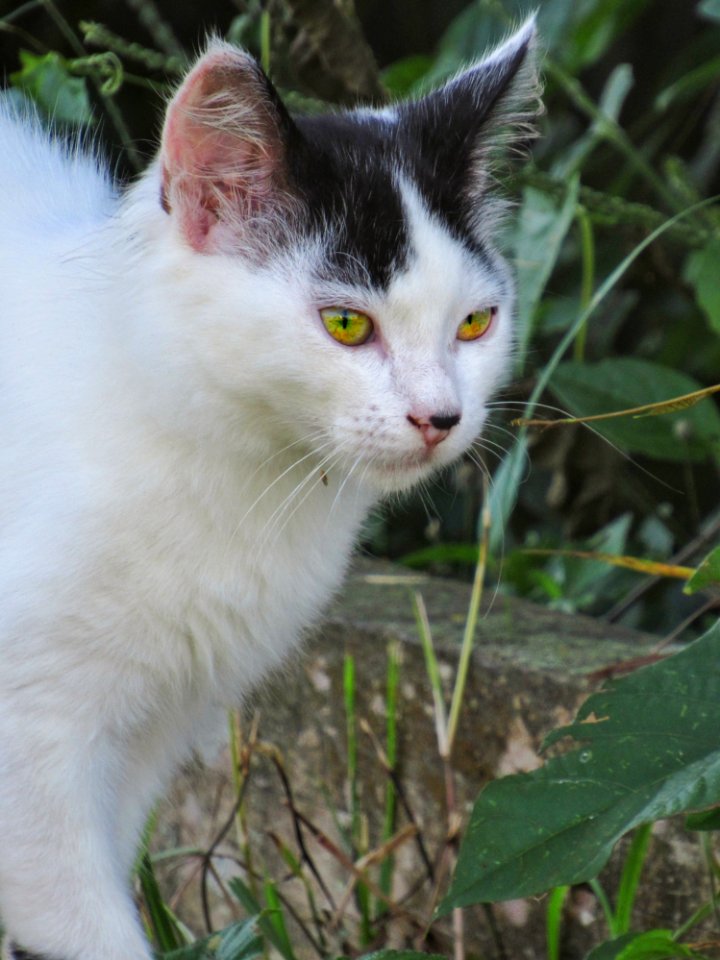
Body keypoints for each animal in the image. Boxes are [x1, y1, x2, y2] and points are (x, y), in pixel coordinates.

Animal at [0, 20, 536, 960]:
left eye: (475, 323)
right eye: (347, 324)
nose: (441, 415)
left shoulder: (152, 731)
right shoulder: (28, 747)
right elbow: (83, 921)